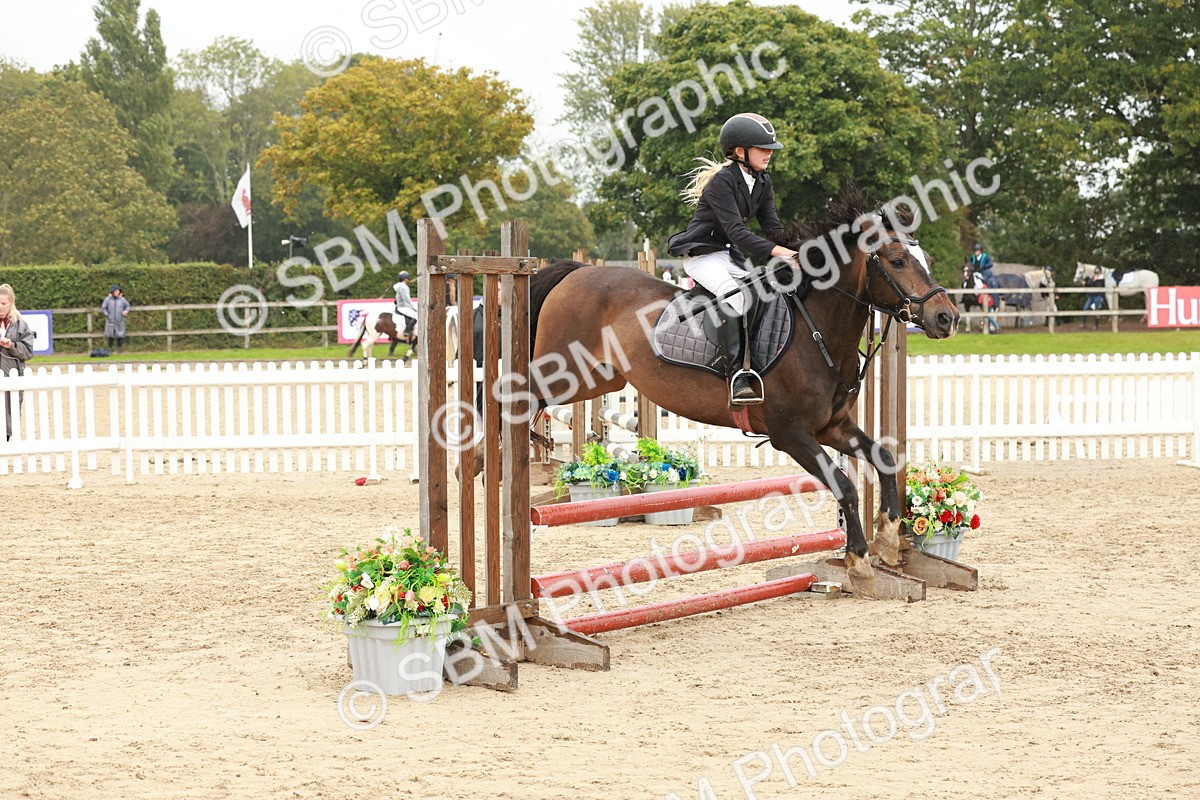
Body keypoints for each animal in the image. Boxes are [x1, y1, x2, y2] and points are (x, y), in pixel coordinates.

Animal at [519, 189, 959, 581]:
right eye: (897, 261)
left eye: (928, 260)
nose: (947, 318)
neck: (817, 331)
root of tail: (577, 273)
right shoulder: (791, 435)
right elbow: (846, 487)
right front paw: (859, 558)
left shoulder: (832, 428)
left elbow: (883, 459)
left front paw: (888, 538)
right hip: (562, 374)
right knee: (521, 395)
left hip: (596, 380)